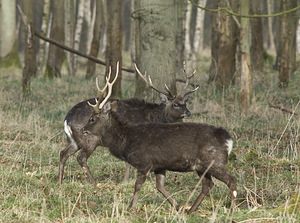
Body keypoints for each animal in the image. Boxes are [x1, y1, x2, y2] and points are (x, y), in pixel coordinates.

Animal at [59, 63, 199, 185]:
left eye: (185, 102)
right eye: (175, 104)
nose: (188, 112)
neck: (156, 117)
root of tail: (67, 119)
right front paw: (126, 180)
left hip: (74, 140)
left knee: (63, 153)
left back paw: (60, 181)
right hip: (90, 139)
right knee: (81, 157)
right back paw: (93, 183)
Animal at [82, 65, 237, 213]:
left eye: (92, 119)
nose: (83, 130)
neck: (126, 140)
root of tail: (228, 140)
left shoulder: (144, 162)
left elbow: (137, 186)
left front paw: (130, 208)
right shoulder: (159, 165)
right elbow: (160, 187)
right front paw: (177, 206)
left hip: (214, 161)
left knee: (231, 180)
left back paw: (232, 209)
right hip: (202, 166)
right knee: (208, 185)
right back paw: (190, 210)